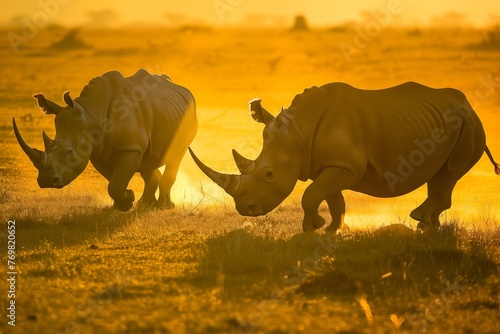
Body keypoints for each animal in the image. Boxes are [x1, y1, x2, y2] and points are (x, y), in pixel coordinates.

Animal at [13, 70, 197, 211]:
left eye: (69, 152)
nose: (45, 181)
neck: (91, 112)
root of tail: (181, 88)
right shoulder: (98, 151)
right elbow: (113, 180)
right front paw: (124, 203)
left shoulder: (129, 147)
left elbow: (115, 183)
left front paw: (127, 200)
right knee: (148, 159)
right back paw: (145, 205)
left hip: (188, 120)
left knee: (177, 155)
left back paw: (163, 207)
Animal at [189, 82, 498, 231]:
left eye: (269, 174)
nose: (245, 210)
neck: (299, 132)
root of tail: (468, 104)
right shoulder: (332, 164)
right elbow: (331, 197)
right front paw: (333, 229)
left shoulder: (346, 165)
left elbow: (311, 194)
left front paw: (311, 228)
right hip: (452, 123)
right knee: (441, 174)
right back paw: (429, 226)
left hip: (469, 125)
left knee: (450, 172)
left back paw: (421, 221)